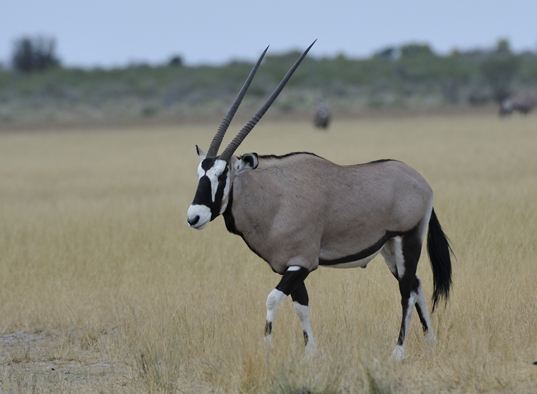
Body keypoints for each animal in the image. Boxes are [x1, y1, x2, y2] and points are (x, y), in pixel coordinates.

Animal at [186, 42, 450, 360]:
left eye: (223, 175)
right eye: (200, 173)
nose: (194, 216)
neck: (274, 199)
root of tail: (422, 182)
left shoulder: (301, 263)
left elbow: (273, 298)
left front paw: (268, 345)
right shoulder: (289, 266)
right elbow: (301, 307)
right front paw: (310, 354)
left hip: (408, 240)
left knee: (406, 292)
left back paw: (398, 352)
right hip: (390, 248)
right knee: (416, 285)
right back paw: (431, 341)